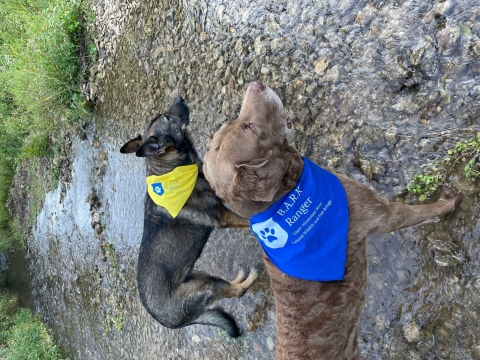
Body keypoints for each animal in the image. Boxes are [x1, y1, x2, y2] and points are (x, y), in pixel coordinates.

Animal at [120, 96, 258, 338]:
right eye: (167, 117)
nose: (179, 98)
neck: (168, 169)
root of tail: (172, 323)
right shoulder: (223, 216)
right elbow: (249, 218)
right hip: (204, 285)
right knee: (234, 292)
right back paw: (248, 280)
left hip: (200, 275)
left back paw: (239, 278)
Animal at [203, 82, 462, 360]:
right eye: (250, 128)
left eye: (239, 123)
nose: (256, 84)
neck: (284, 199)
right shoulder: (381, 214)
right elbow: (420, 211)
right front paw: (448, 201)